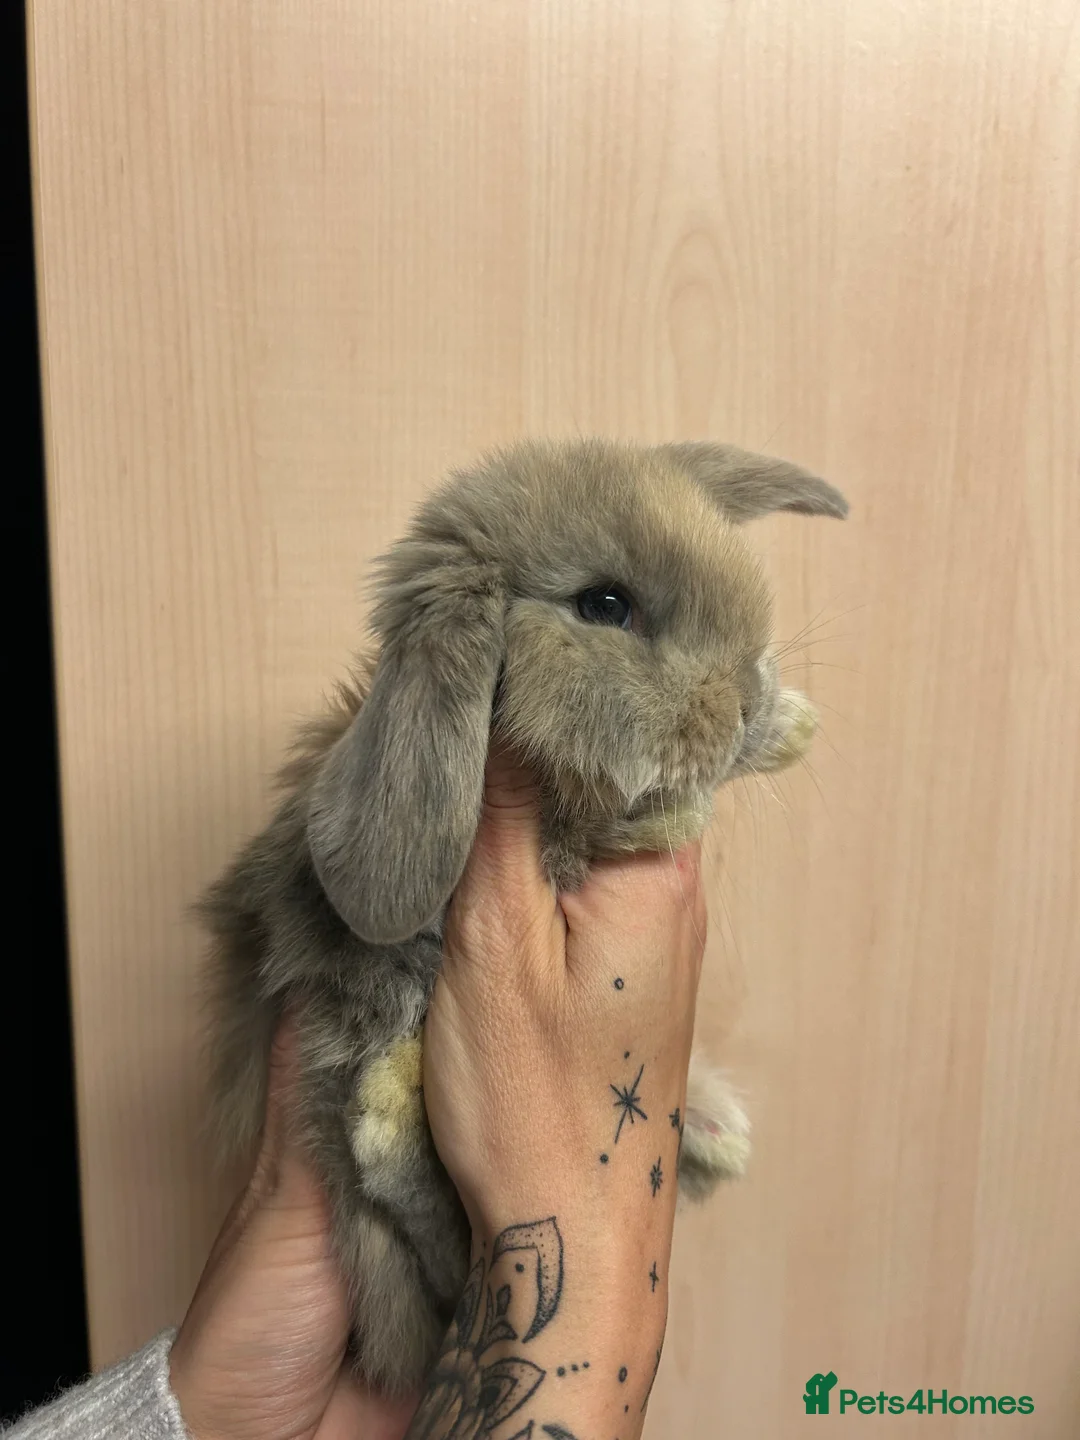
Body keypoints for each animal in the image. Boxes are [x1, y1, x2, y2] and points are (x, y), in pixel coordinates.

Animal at [198, 437, 847, 1396]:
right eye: (605, 605)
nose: (739, 706)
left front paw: (788, 725)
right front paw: (678, 808)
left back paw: (714, 1132)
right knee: (396, 1177)